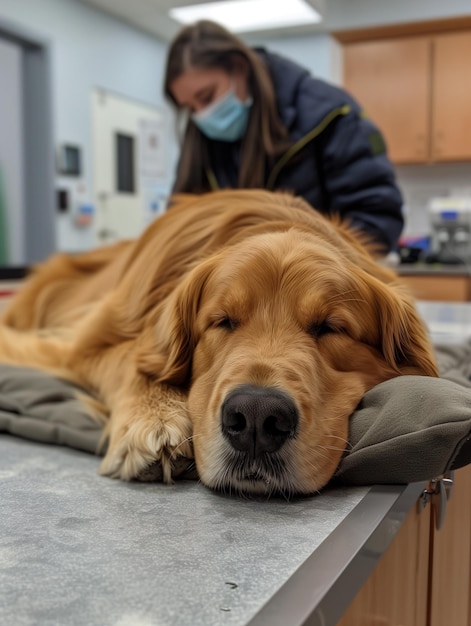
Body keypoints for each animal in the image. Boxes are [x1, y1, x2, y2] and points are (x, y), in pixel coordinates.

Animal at [0, 188, 438, 494]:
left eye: (330, 327)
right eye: (222, 321)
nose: (257, 418)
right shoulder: (85, 344)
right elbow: (130, 358)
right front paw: (153, 420)